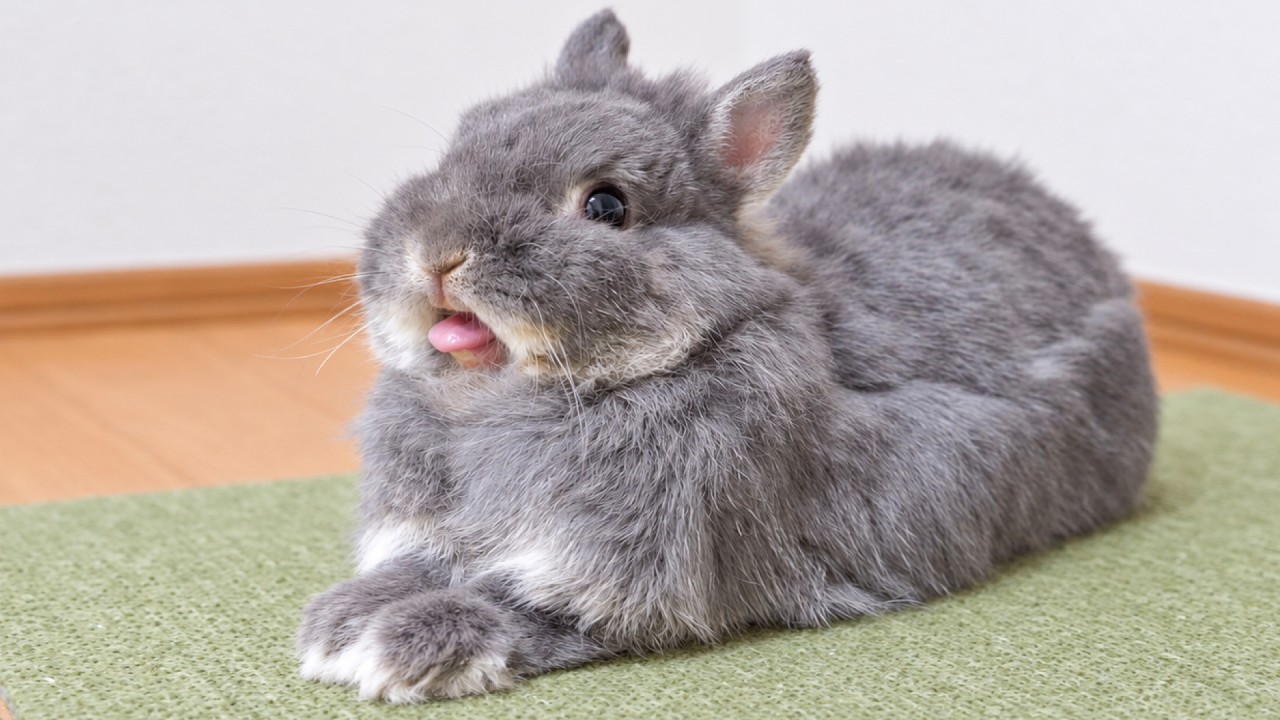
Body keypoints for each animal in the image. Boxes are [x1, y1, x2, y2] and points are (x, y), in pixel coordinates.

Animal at [297, 9, 1158, 703]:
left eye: (606, 205)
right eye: (456, 151)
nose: (438, 254)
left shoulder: (634, 575)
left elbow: (521, 606)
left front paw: (392, 650)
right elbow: (408, 567)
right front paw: (335, 625)